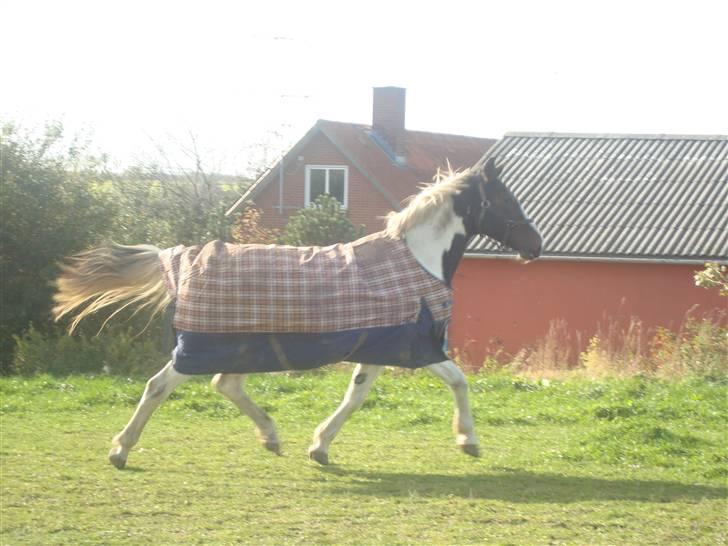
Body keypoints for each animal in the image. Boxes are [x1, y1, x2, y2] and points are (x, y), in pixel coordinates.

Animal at [52, 155, 540, 466]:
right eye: (506, 200)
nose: (534, 245)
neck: (417, 260)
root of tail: (186, 255)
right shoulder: (418, 347)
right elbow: (459, 381)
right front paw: (469, 441)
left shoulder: (379, 348)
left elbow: (356, 396)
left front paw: (320, 447)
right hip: (202, 347)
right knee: (159, 386)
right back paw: (120, 450)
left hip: (239, 347)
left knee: (224, 384)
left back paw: (270, 437)